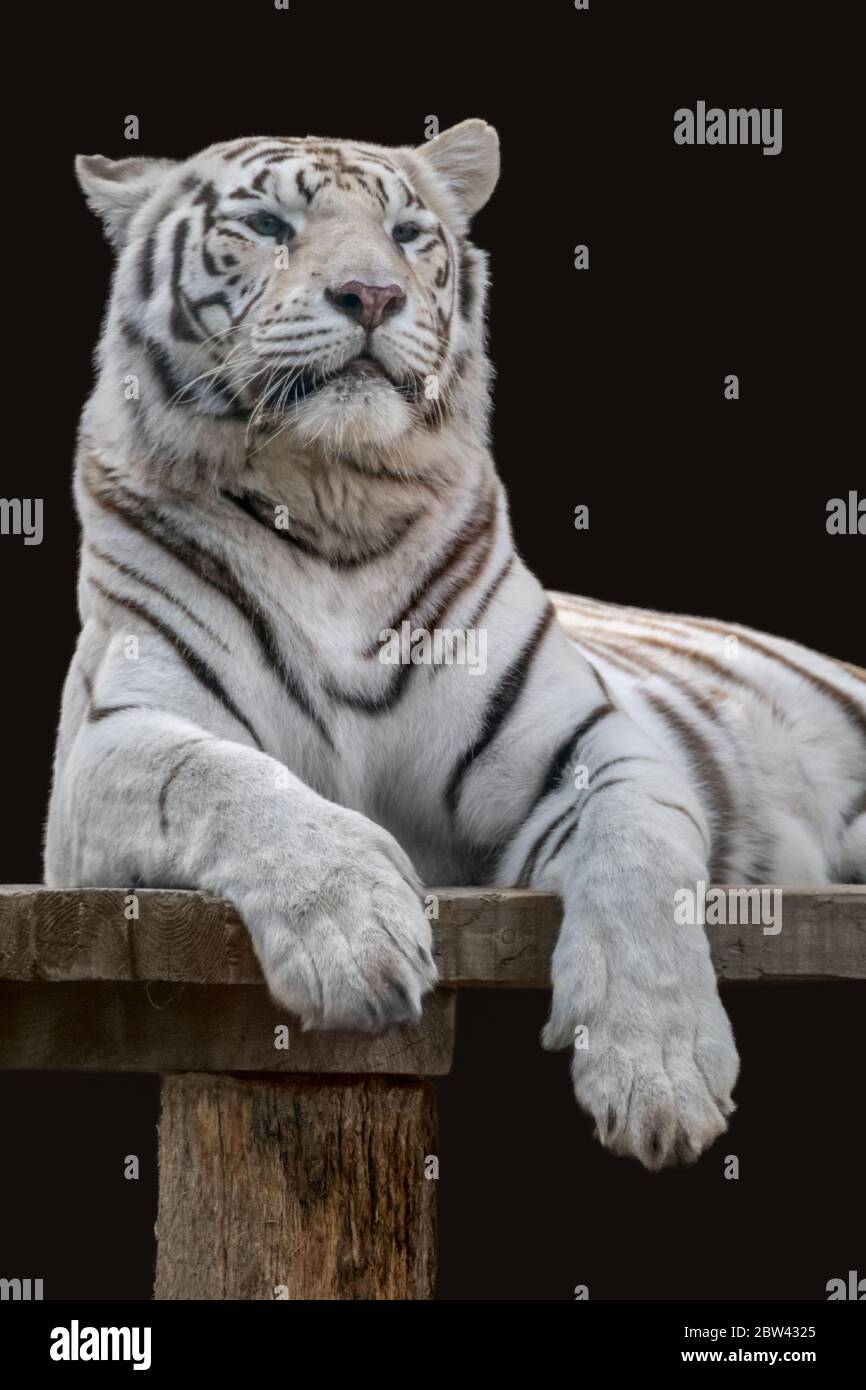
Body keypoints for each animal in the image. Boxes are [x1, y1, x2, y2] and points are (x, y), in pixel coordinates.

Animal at [47, 119, 866, 1167]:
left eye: (406, 233)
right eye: (269, 225)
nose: (372, 295)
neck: (331, 506)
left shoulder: (594, 744)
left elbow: (639, 856)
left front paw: (659, 1072)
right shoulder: (112, 745)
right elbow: (229, 782)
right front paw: (352, 937)